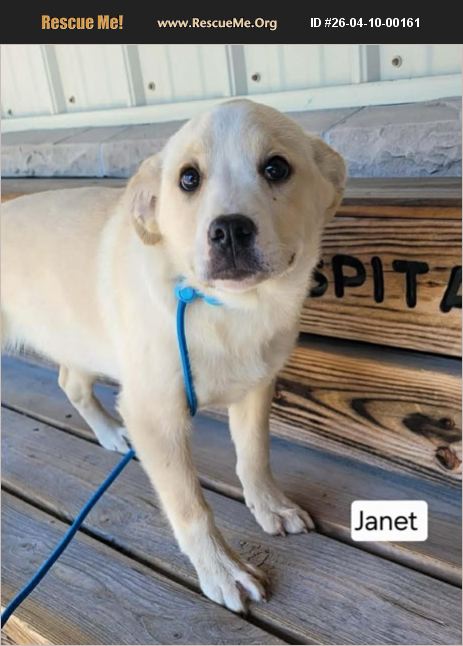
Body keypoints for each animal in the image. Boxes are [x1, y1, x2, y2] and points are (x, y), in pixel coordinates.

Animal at [2, 99, 346, 612]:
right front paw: (221, 571)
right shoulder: (155, 415)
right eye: (188, 179)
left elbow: (254, 456)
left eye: (276, 168)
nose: (229, 230)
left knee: (70, 383)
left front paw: (270, 505)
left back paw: (110, 434)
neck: (229, 311)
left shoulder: (256, 387)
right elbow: (190, 507)